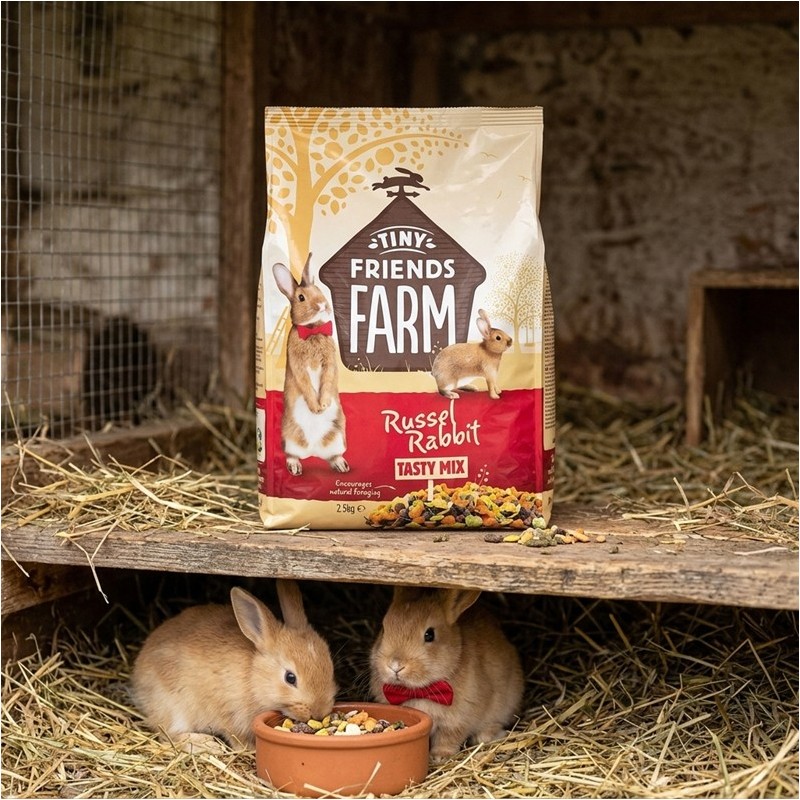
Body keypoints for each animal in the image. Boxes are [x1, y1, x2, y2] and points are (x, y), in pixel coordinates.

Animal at [130, 581, 338, 753]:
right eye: (290, 678)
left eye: (330, 667)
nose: (319, 713)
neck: (254, 678)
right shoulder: (227, 712)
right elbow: (234, 735)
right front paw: (249, 749)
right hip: (173, 707)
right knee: (168, 734)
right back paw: (207, 744)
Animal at [273, 254, 349, 476]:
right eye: (301, 298)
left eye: (320, 290)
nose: (323, 305)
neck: (313, 330)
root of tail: (314, 451)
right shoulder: (297, 365)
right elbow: (304, 382)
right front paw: (316, 407)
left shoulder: (329, 363)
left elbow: (327, 379)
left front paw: (322, 405)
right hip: (289, 437)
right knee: (292, 454)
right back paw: (295, 468)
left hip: (337, 436)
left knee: (333, 455)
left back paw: (341, 466)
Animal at [369, 586, 524, 764]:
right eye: (383, 628)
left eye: (429, 634)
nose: (395, 665)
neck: (421, 691)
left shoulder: (458, 721)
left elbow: (448, 738)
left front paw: (439, 756)